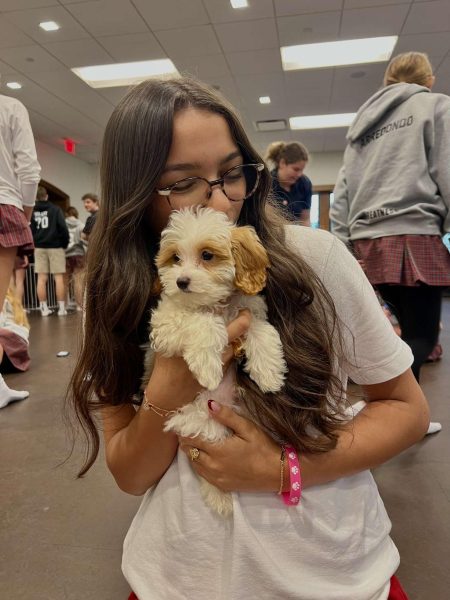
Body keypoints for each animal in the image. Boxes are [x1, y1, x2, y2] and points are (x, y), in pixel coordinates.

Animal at [146, 209, 286, 516]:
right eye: (175, 258)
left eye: (207, 255)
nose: (181, 281)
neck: (214, 304)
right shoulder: (167, 323)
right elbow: (203, 321)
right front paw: (208, 369)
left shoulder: (249, 311)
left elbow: (261, 331)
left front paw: (270, 375)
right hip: (201, 419)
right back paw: (220, 497)